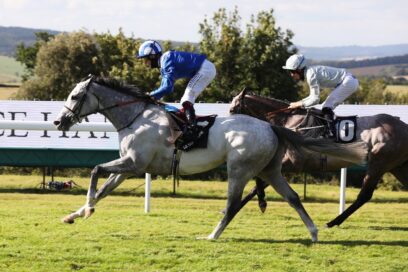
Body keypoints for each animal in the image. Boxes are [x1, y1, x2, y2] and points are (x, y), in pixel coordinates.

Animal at [53, 76, 366, 240]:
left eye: (75, 96)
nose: (58, 121)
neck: (136, 117)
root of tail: (270, 126)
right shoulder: (128, 168)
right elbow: (103, 189)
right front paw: (75, 214)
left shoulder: (134, 164)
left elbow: (95, 170)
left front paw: (86, 209)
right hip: (270, 170)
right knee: (292, 197)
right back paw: (313, 232)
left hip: (239, 168)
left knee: (233, 203)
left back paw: (213, 234)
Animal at [230, 89, 408, 227]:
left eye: (233, 109)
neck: (289, 122)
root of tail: (404, 126)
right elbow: (255, 186)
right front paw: (235, 208)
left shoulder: (292, 163)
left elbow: (257, 180)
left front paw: (261, 203)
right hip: (397, 167)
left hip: (379, 164)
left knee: (364, 195)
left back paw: (333, 222)